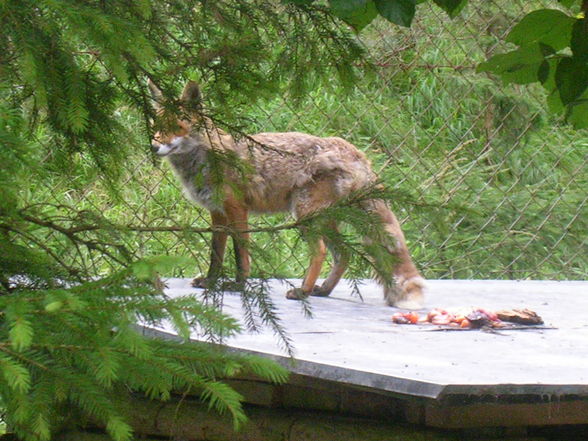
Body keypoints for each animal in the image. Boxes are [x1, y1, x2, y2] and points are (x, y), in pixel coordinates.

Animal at [146, 80, 422, 306]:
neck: (204, 158)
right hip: (324, 218)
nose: (154, 146)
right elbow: (216, 254)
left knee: (321, 252)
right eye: (155, 126)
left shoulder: (236, 208)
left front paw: (238, 285)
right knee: (343, 254)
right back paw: (323, 290)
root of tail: (354, 151)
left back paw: (303, 291)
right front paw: (210, 281)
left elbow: (241, 255)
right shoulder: (217, 213)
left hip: (305, 215)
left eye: (177, 127)